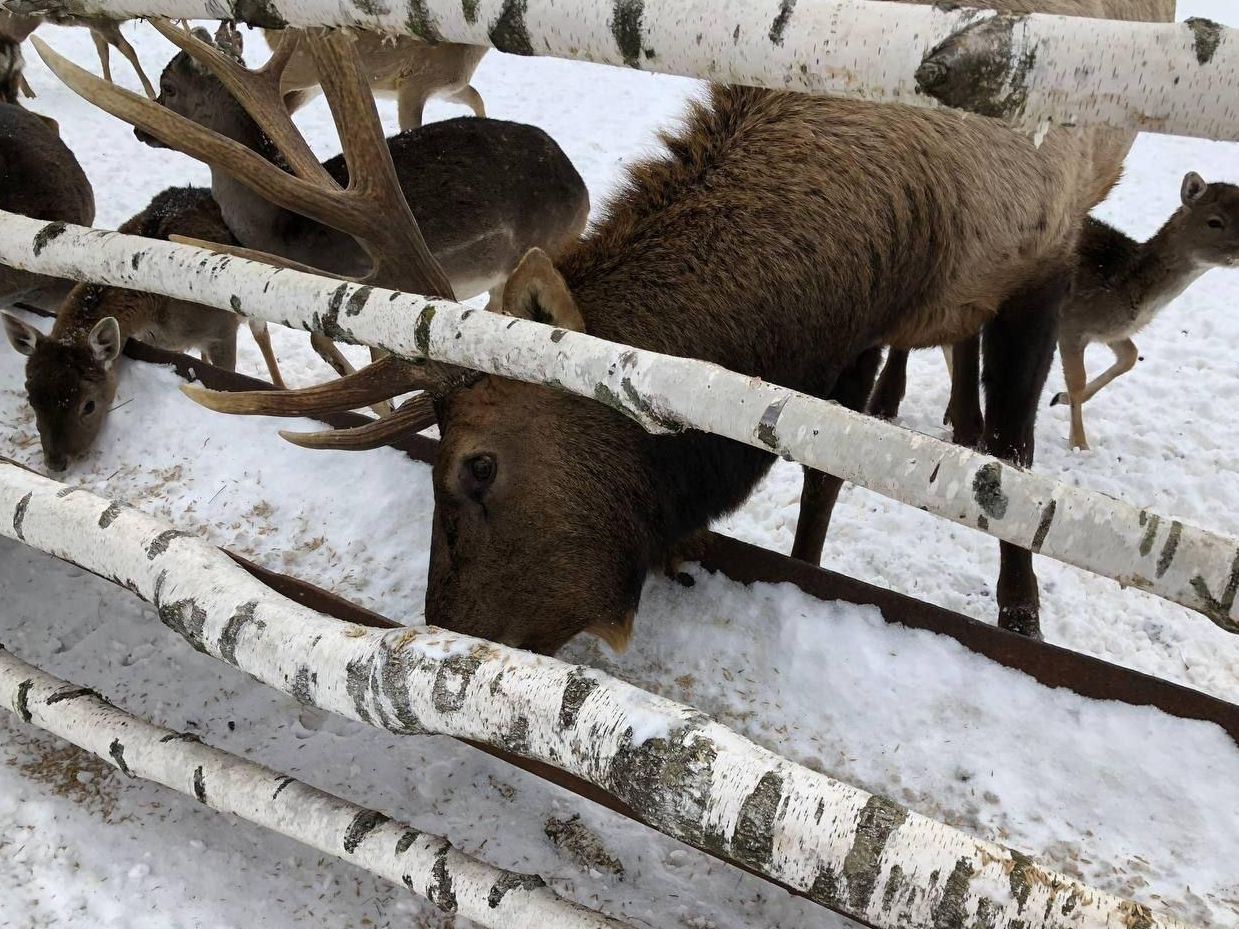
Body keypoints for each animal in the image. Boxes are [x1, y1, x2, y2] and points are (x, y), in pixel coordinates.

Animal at [1, 185, 284, 473]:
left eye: (89, 405)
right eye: (31, 399)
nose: (56, 462)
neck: (157, 310)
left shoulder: (222, 329)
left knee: (262, 333)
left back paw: (280, 385)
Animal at [261, 26, 488, 131]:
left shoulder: (446, 88)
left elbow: (476, 97)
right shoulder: (415, 82)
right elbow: (412, 126)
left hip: (311, 86)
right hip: (300, 68)